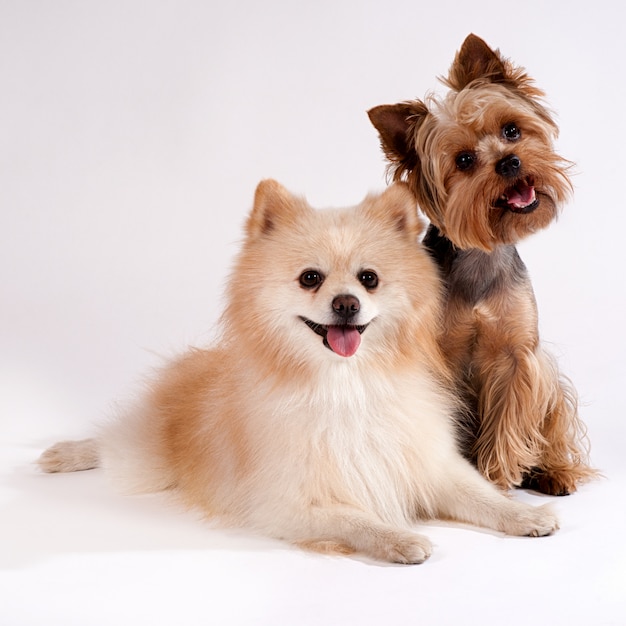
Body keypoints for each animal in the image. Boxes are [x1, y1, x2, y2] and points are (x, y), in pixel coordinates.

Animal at [39, 179, 556, 560]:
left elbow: (483, 497)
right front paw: (398, 537)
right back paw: (67, 453)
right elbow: (355, 518)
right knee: (111, 444)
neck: (347, 382)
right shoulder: (288, 502)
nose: (346, 303)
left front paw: (525, 515)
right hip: (144, 460)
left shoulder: (428, 464)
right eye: (311, 278)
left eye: (369, 279)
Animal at [368, 34, 592, 494]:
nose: (509, 161)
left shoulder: (517, 357)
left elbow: (509, 420)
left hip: (549, 384)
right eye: (464, 161)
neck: (481, 257)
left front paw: (498, 477)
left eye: (511, 130)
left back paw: (554, 472)